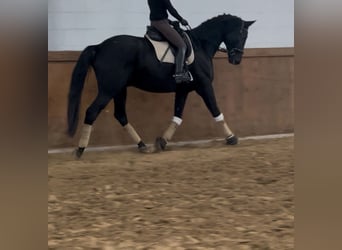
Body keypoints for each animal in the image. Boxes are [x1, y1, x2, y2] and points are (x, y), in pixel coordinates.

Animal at [68, 13, 254, 157]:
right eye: (242, 35)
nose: (237, 60)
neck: (201, 45)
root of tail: (99, 47)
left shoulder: (183, 89)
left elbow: (177, 115)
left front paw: (162, 142)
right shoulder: (204, 85)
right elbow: (215, 110)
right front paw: (231, 137)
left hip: (120, 89)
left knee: (120, 115)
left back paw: (143, 145)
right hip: (109, 89)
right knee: (92, 111)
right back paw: (80, 149)